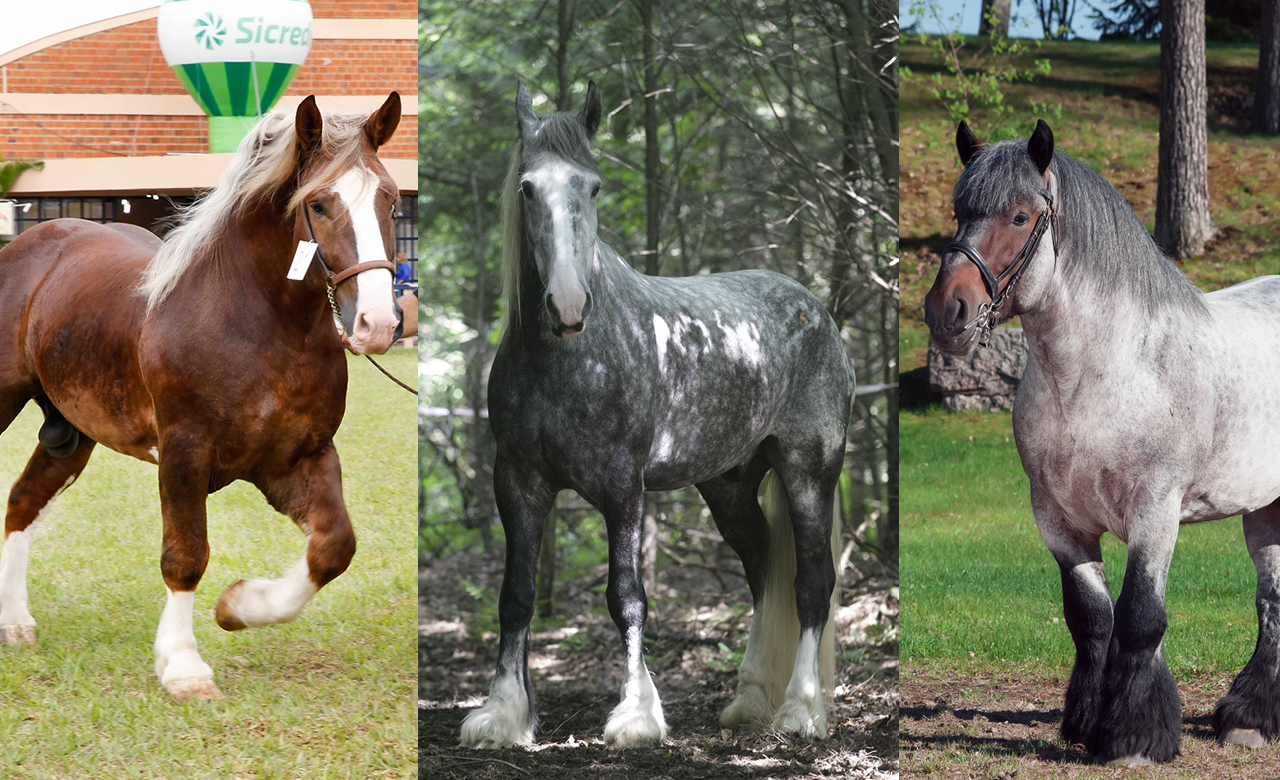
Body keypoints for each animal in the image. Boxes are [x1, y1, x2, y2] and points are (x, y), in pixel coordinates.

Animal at [0, 92, 404, 701]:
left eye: (391, 199)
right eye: (319, 204)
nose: (377, 323)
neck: (257, 321)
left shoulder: (298, 457)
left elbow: (333, 547)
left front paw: (239, 606)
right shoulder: (185, 452)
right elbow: (186, 555)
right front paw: (183, 665)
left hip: (72, 433)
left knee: (23, 501)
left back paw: (15, 622)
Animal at [455, 80, 855, 747]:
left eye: (593, 187)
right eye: (527, 188)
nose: (568, 305)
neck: (565, 358)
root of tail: (817, 312)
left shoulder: (623, 486)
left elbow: (627, 596)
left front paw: (637, 714)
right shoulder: (517, 481)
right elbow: (516, 593)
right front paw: (504, 713)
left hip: (809, 470)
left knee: (810, 583)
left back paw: (802, 709)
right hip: (728, 486)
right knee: (764, 571)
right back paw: (750, 700)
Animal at [926, 118, 1280, 763]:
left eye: (1020, 216)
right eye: (959, 210)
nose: (947, 312)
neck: (1100, 373)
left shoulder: (1154, 512)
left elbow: (1141, 617)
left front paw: (1133, 737)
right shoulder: (1057, 518)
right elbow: (1091, 618)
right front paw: (1087, 723)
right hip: (1264, 507)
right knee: (1272, 600)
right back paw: (1251, 719)